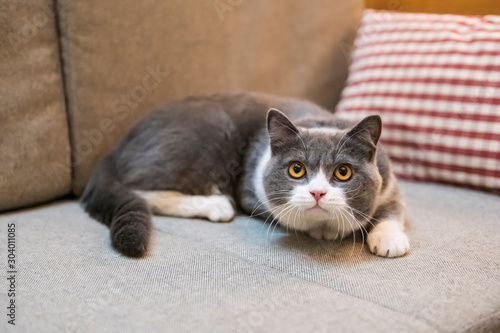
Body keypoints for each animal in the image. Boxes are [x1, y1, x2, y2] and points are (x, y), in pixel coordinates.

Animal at [83, 92, 410, 258]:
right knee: (140, 189)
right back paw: (216, 204)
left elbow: (393, 208)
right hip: (211, 129)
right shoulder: (251, 191)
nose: (317, 192)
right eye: (297, 169)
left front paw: (389, 238)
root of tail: (118, 146)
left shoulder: (389, 180)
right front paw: (326, 230)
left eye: (343, 172)